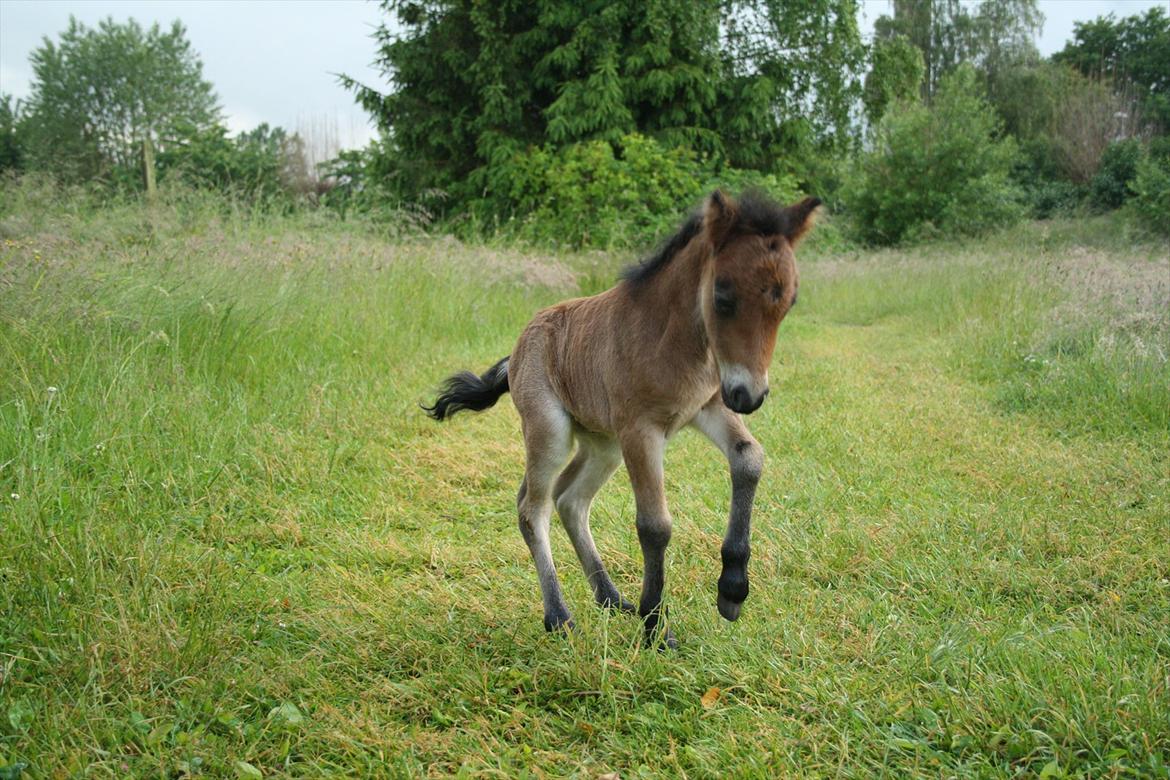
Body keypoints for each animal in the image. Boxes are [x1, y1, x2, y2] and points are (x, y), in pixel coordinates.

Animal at [425, 189, 819, 645]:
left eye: (789, 302)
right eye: (723, 297)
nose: (751, 396)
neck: (674, 339)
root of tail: (517, 351)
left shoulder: (708, 407)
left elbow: (750, 457)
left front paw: (732, 591)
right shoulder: (641, 430)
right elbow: (655, 525)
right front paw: (656, 627)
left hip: (603, 444)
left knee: (570, 499)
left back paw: (611, 598)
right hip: (551, 431)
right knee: (532, 507)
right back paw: (560, 617)